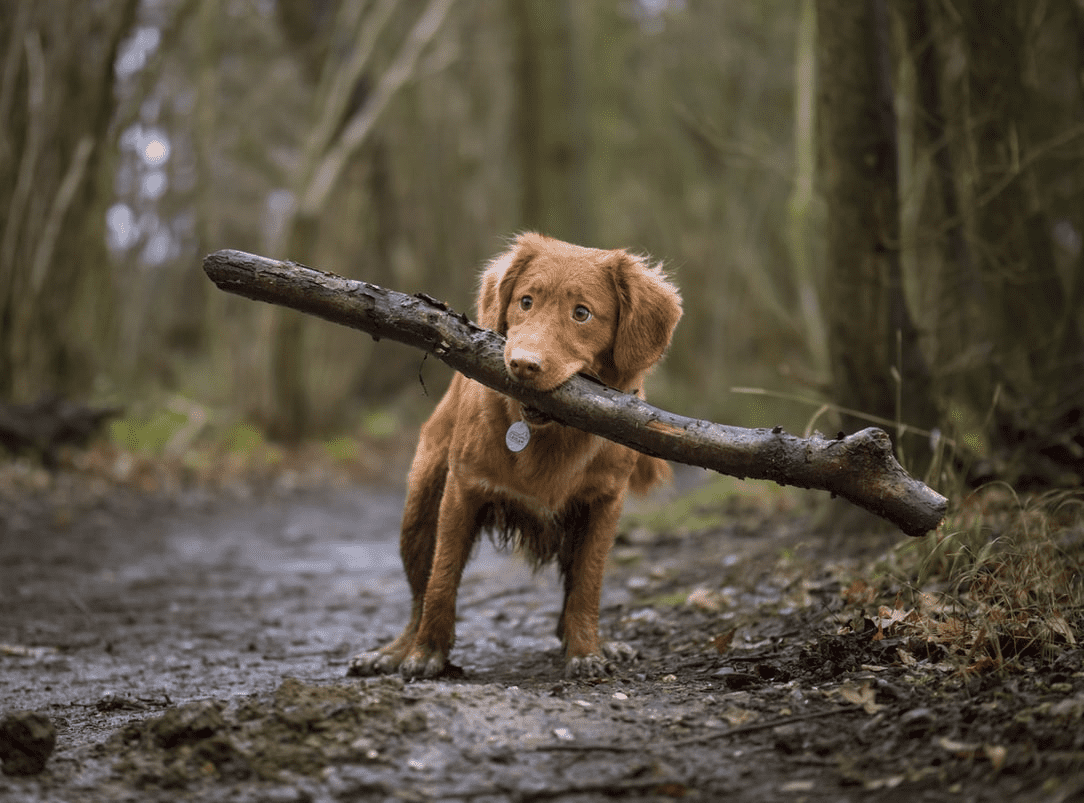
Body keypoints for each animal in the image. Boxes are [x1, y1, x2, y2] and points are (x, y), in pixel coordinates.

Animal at [346, 231, 680, 676]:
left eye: (582, 313)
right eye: (526, 301)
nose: (522, 364)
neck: (548, 433)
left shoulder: (604, 504)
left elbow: (588, 584)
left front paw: (586, 650)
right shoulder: (462, 490)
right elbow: (442, 577)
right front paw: (427, 653)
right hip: (419, 510)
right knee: (419, 592)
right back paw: (396, 650)